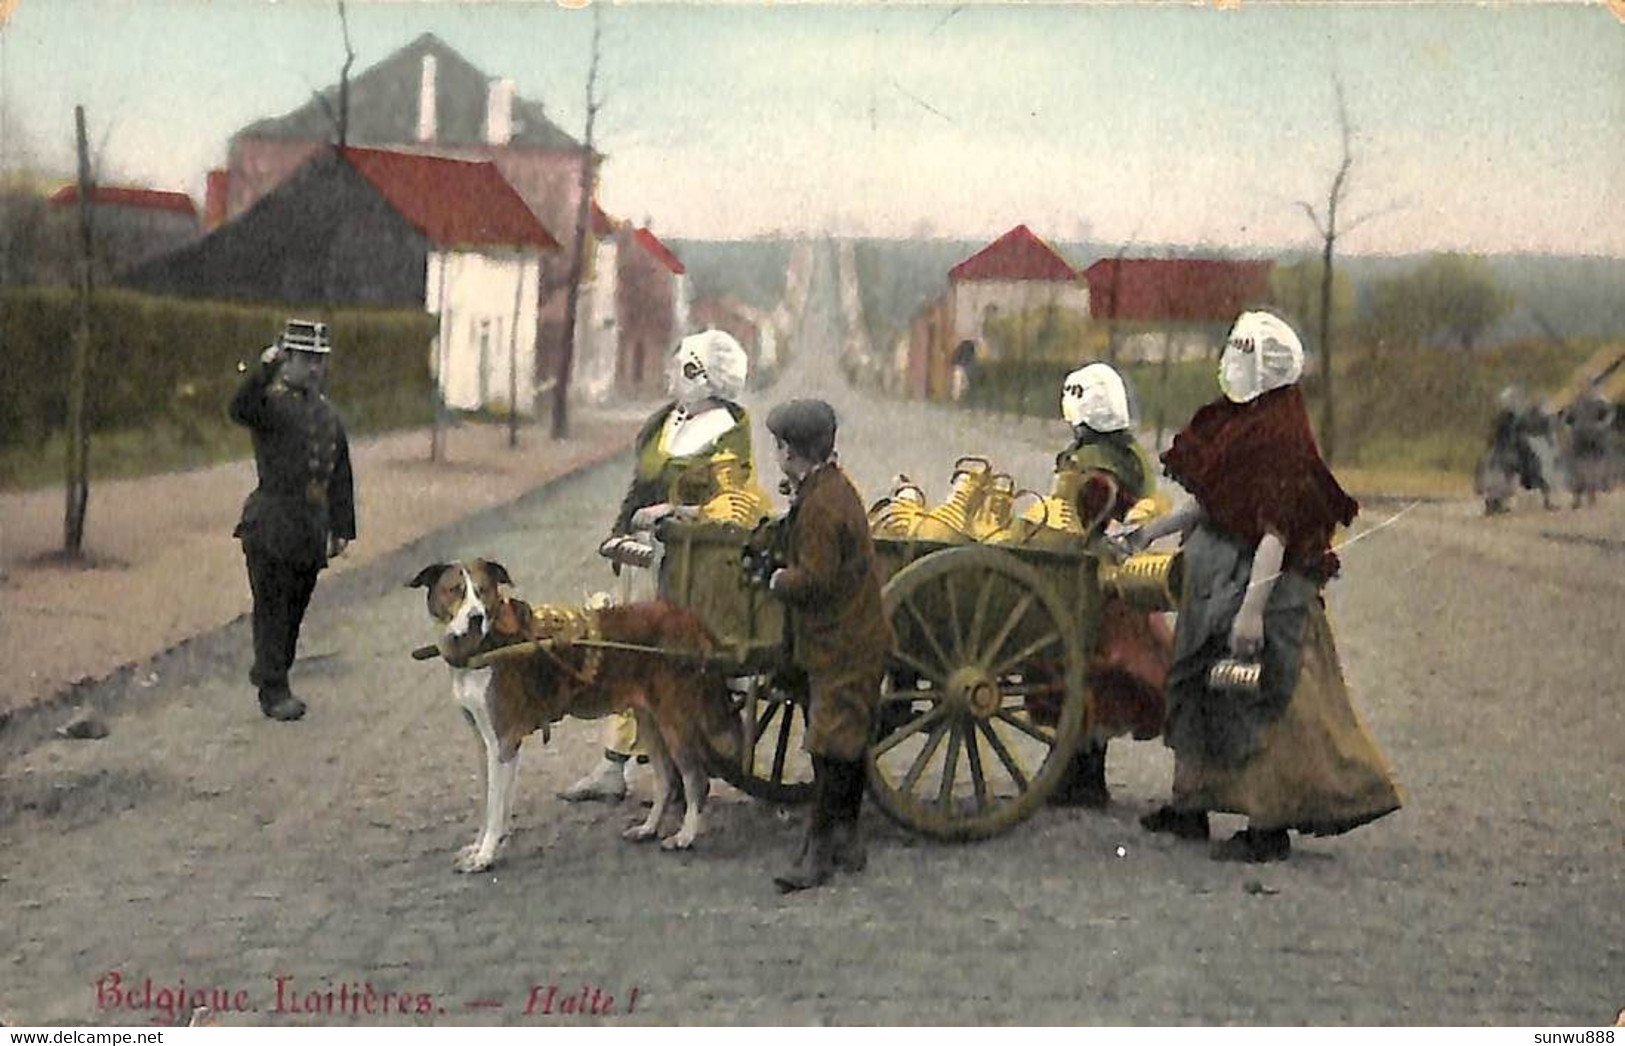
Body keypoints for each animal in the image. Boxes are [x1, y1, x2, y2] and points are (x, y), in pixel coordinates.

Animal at [406, 558, 744, 870]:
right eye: (455, 590)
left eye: (483, 591)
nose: (476, 618)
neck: (484, 647)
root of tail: (687, 618)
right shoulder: (483, 740)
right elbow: (489, 802)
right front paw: (480, 847)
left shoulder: (503, 743)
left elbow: (495, 806)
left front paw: (486, 854)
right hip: (649, 718)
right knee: (665, 779)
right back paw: (648, 828)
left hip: (675, 718)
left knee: (695, 779)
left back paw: (685, 836)